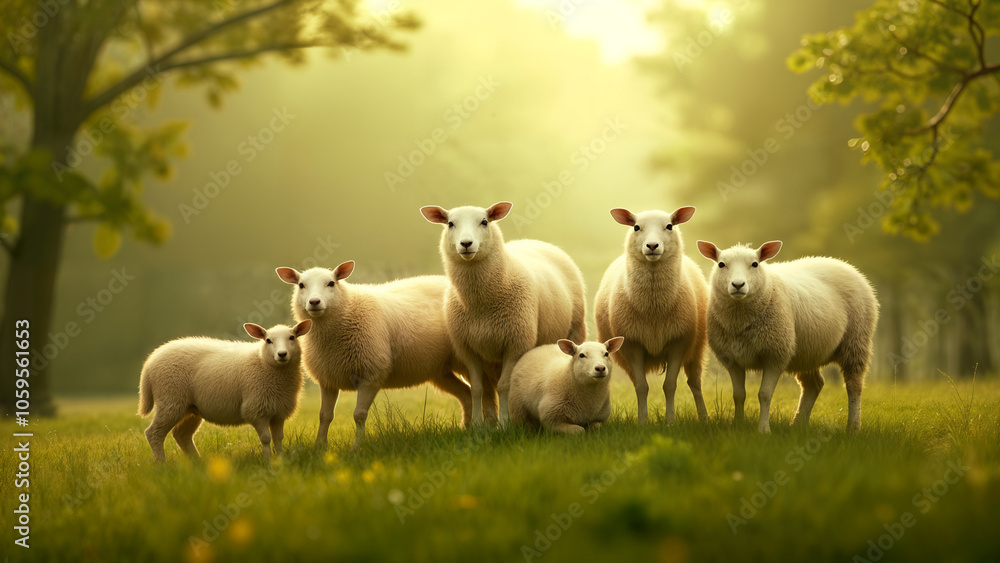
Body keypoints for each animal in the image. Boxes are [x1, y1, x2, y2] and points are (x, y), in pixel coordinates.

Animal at [138, 320, 312, 462]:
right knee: (153, 433)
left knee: (182, 435)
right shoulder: (256, 410)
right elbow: (265, 438)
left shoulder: (278, 411)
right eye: (268, 340)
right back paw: (162, 463)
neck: (263, 363)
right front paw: (269, 460)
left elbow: (278, 438)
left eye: (292, 337)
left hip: (190, 408)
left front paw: (281, 459)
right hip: (170, 400)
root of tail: (149, 362)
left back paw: (197, 461)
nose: (282, 354)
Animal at [276, 262, 475, 448]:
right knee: (466, 393)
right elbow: (325, 415)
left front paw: (357, 447)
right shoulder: (328, 379)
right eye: (301, 285)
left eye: (331, 283)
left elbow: (359, 415)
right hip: (441, 370)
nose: (314, 302)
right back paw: (466, 428)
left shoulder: (371, 374)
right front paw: (319, 446)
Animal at [420, 201, 588, 425]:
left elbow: (505, 386)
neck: (480, 305)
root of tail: (533, 241)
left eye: (484, 222)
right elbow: (477, 389)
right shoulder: (467, 349)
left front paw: (506, 424)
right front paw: (477, 425)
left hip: (575, 329)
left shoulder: (516, 344)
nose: (466, 243)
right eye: (450, 223)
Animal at [594, 207, 710, 424]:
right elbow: (641, 387)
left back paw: (704, 417)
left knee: (695, 382)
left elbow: (670, 385)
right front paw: (642, 422)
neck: (653, 308)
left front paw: (670, 421)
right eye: (636, 227)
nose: (652, 245)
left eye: (670, 226)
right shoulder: (632, 345)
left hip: (696, 346)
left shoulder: (679, 342)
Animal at [696, 240, 879, 433]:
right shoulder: (732, 359)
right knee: (814, 385)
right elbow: (739, 395)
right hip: (806, 352)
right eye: (721, 264)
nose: (738, 285)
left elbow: (764, 394)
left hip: (856, 341)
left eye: (755, 264)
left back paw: (853, 427)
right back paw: (798, 424)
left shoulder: (775, 355)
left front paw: (763, 429)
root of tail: (843, 263)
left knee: (854, 386)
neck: (740, 321)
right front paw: (738, 425)